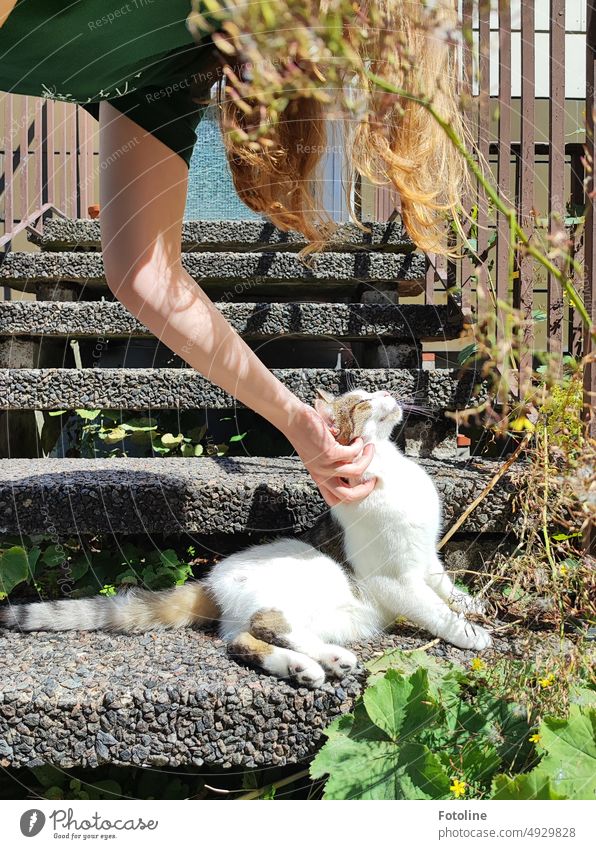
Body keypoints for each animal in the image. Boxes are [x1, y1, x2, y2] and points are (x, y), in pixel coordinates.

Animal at [0, 388, 492, 684]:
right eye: (361, 403)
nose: (386, 391)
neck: (389, 467)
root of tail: (210, 580)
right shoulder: (396, 578)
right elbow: (434, 610)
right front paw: (469, 633)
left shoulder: (427, 559)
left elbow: (446, 588)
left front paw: (472, 604)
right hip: (299, 589)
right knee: (267, 625)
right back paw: (323, 660)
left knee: (243, 640)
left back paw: (307, 665)